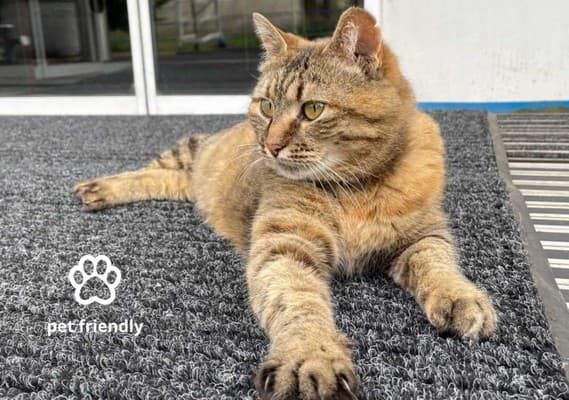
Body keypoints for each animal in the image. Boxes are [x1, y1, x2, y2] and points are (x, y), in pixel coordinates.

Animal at [73, 7, 497, 399]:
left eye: (312, 109)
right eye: (266, 106)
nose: (270, 146)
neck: (358, 187)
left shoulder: (425, 235)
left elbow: (438, 266)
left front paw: (460, 297)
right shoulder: (285, 244)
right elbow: (296, 300)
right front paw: (309, 355)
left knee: (172, 181)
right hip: (189, 150)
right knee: (151, 170)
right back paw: (98, 188)